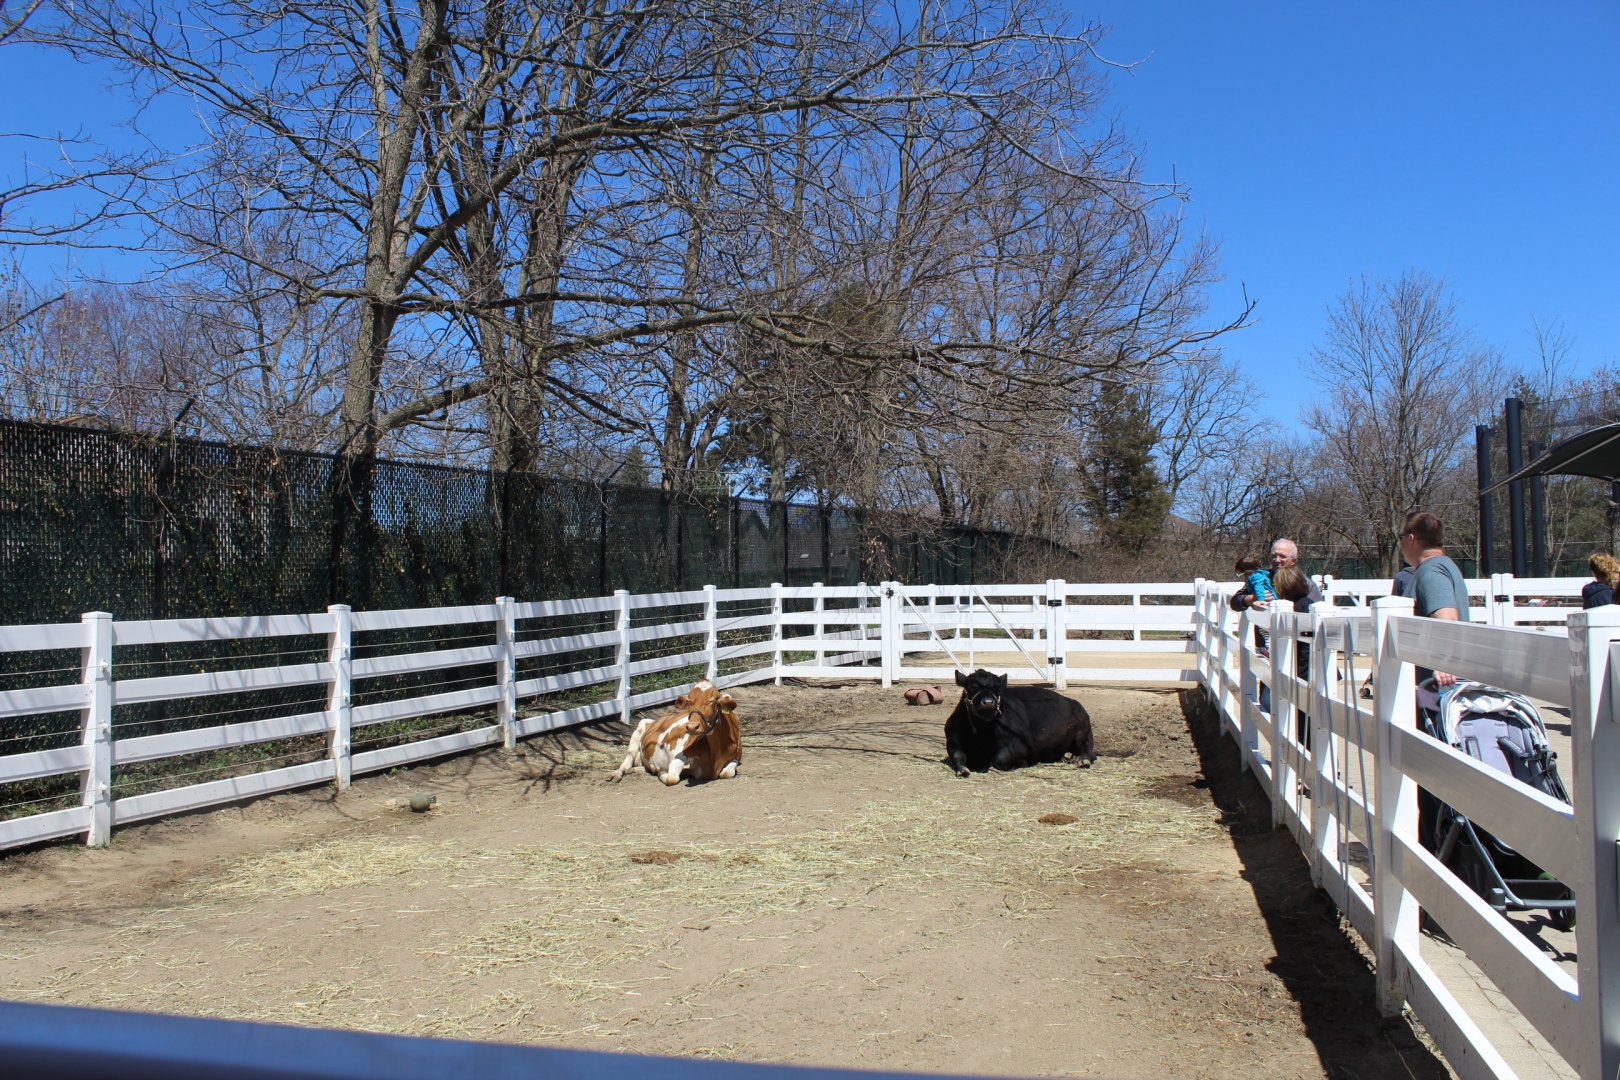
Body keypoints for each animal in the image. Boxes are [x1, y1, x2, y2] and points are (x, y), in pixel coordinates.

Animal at [607, 680, 741, 786]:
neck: (716, 753)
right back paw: (616, 774)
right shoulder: (678, 757)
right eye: (689, 702)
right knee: (626, 762)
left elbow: (727, 772)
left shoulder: (735, 758)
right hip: (638, 731)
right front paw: (661, 772)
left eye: (711, 701)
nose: (692, 727)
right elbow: (672, 778)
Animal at [943, 668, 1095, 777]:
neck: (980, 733)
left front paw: (1022, 763)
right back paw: (1068, 756)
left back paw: (1082, 760)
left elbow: (1000, 759)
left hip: (1083, 733)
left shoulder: (1018, 744)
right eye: (971, 688)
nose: (988, 703)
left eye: (997, 689)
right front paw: (963, 770)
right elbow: (958, 756)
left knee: (1088, 750)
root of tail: (1071, 702)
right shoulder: (952, 740)